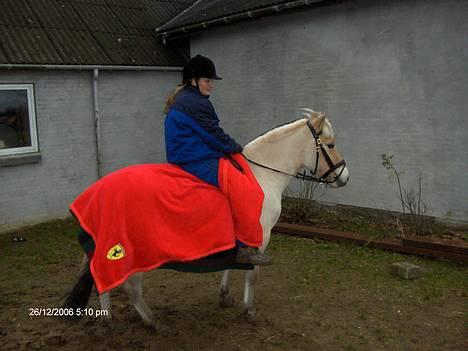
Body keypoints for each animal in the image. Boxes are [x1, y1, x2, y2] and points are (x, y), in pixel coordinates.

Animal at [63, 108, 348, 328]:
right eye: (331, 145)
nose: (344, 176)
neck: (261, 175)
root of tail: (97, 194)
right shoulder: (261, 236)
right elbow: (251, 275)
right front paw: (249, 310)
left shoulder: (235, 236)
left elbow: (231, 263)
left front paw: (224, 296)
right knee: (129, 287)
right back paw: (151, 321)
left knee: (104, 283)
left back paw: (108, 320)